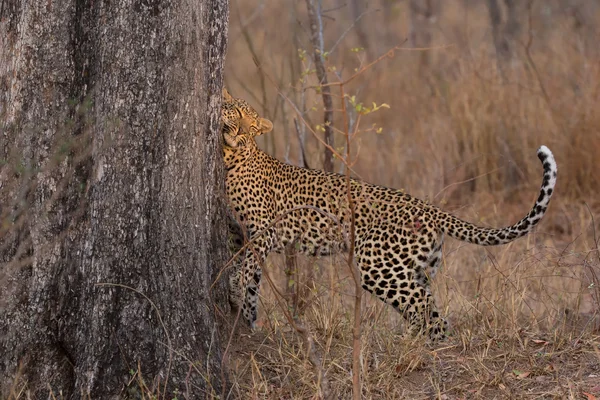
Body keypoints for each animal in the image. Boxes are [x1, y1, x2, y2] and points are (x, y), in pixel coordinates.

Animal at [220, 90, 556, 340]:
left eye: (251, 125)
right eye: (235, 113)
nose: (238, 132)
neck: (232, 156)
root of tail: (429, 207)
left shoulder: (263, 231)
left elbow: (245, 268)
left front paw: (235, 294)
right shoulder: (246, 234)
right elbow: (252, 277)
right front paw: (247, 318)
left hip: (377, 265)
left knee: (425, 307)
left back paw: (432, 347)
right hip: (417, 267)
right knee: (425, 303)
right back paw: (416, 342)